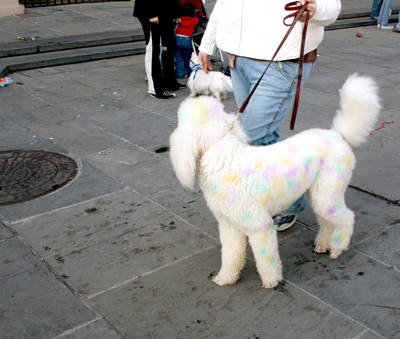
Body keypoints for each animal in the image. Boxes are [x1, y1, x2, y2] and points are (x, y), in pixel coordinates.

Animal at [170, 74, 382, 290]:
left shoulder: (259, 226)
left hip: (329, 190)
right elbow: (230, 254)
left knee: (347, 218)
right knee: (327, 220)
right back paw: (323, 244)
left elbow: (267, 259)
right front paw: (226, 278)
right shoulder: (229, 224)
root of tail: (338, 134)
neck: (224, 155)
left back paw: (338, 247)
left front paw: (272, 282)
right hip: (319, 192)